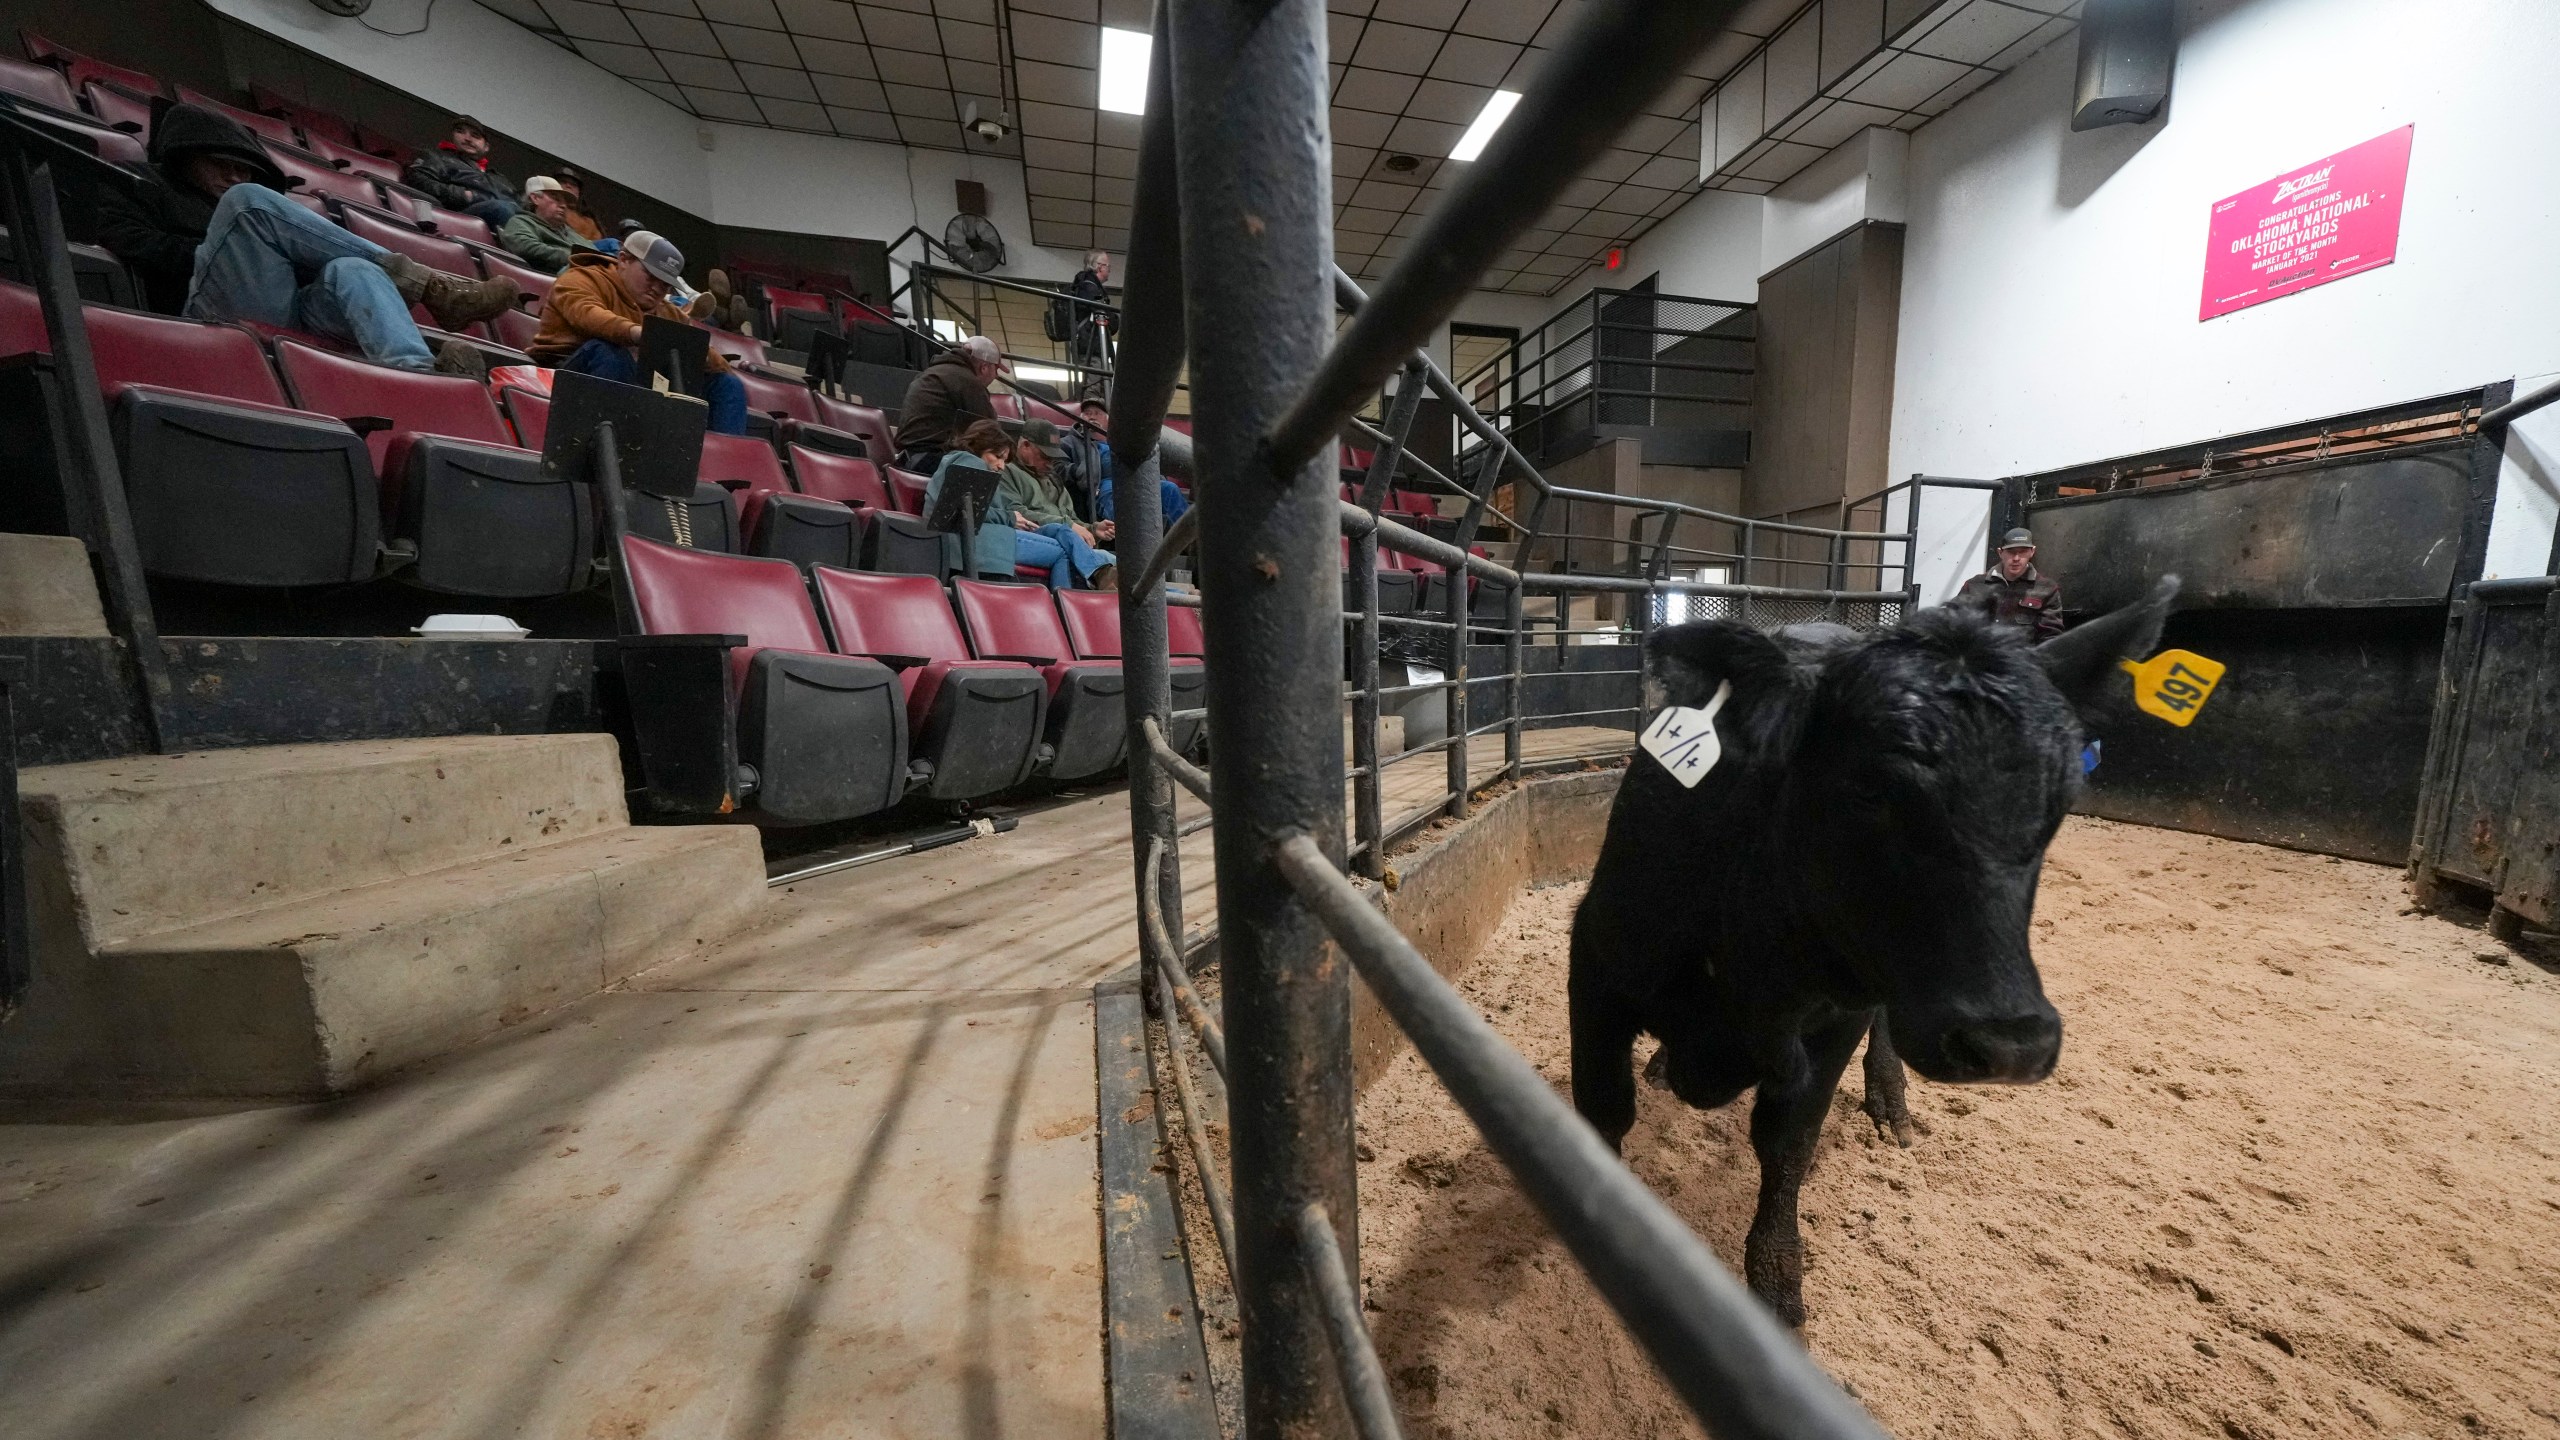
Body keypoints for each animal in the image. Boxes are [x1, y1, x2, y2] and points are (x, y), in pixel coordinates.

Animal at [1568, 579, 2178, 1325]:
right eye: (1867, 789)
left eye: (2059, 802)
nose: (2011, 1043)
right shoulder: (1597, 966)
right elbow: (1603, 1112)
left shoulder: (1836, 1019)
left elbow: (1788, 1144)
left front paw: (1778, 1286)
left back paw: (1891, 1102)